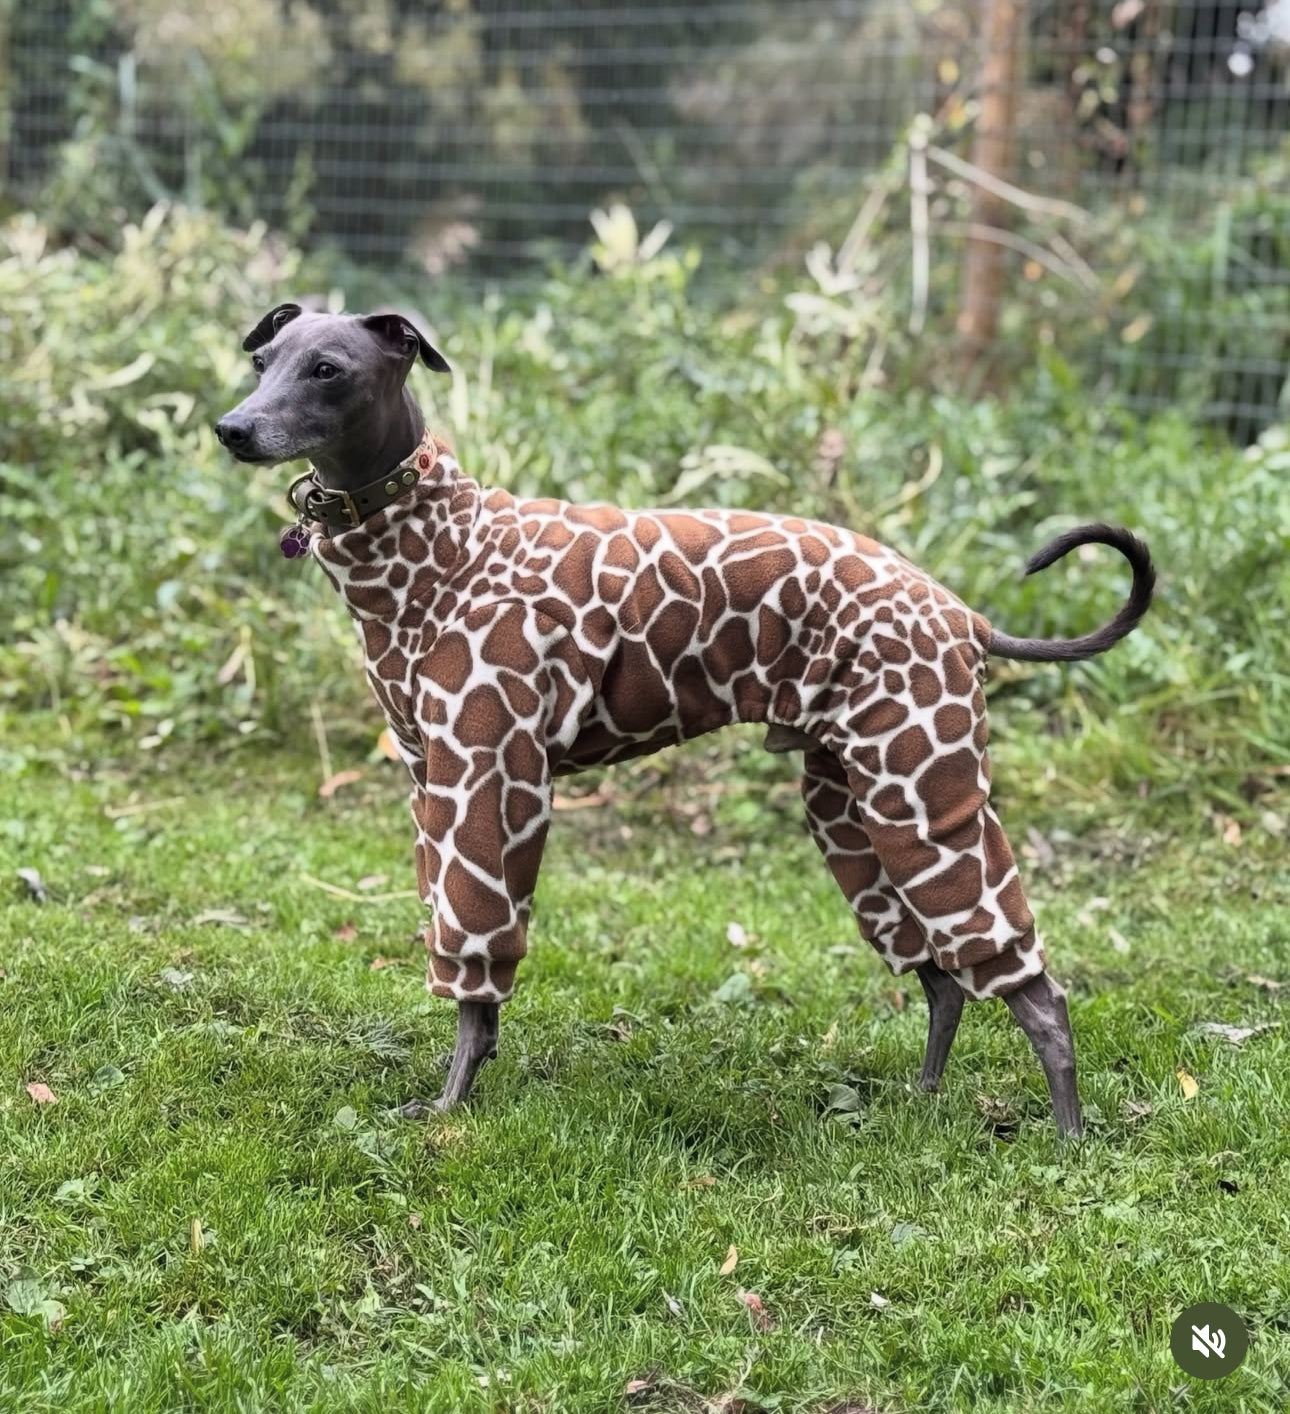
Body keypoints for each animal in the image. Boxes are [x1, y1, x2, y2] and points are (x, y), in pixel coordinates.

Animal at [216, 306, 1156, 1137]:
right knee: (943, 979)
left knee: (1033, 990)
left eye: (328, 369)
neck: (442, 549)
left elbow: (474, 977)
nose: (232, 429)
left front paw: (451, 1108)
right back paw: (921, 1103)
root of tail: (963, 613)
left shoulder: (490, 784)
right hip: (851, 808)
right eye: (262, 360)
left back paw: (1069, 1140)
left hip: (923, 793)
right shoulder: (431, 790)